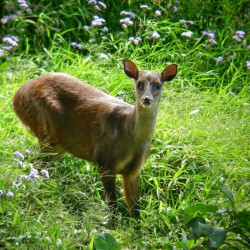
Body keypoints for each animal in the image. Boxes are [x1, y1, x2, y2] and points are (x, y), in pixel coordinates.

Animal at [12, 59, 178, 218]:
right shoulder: (105, 161)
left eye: (158, 85)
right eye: (139, 83)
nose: (146, 99)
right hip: (44, 129)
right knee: (34, 165)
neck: (130, 137)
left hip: (59, 145)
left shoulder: (134, 171)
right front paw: (113, 224)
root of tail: (17, 95)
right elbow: (112, 204)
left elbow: (136, 210)